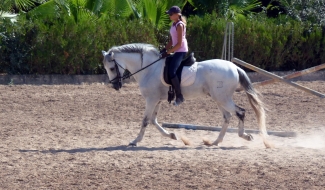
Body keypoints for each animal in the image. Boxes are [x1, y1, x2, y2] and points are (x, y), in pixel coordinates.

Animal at [102, 43, 268, 147]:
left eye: (111, 68)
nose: (115, 86)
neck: (149, 69)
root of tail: (234, 67)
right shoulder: (157, 100)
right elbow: (153, 120)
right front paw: (171, 135)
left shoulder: (151, 99)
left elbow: (145, 121)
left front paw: (135, 141)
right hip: (219, 99)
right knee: (227, 116)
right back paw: (215, 142)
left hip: (223, 98)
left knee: (240, 112)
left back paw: (244, 136)